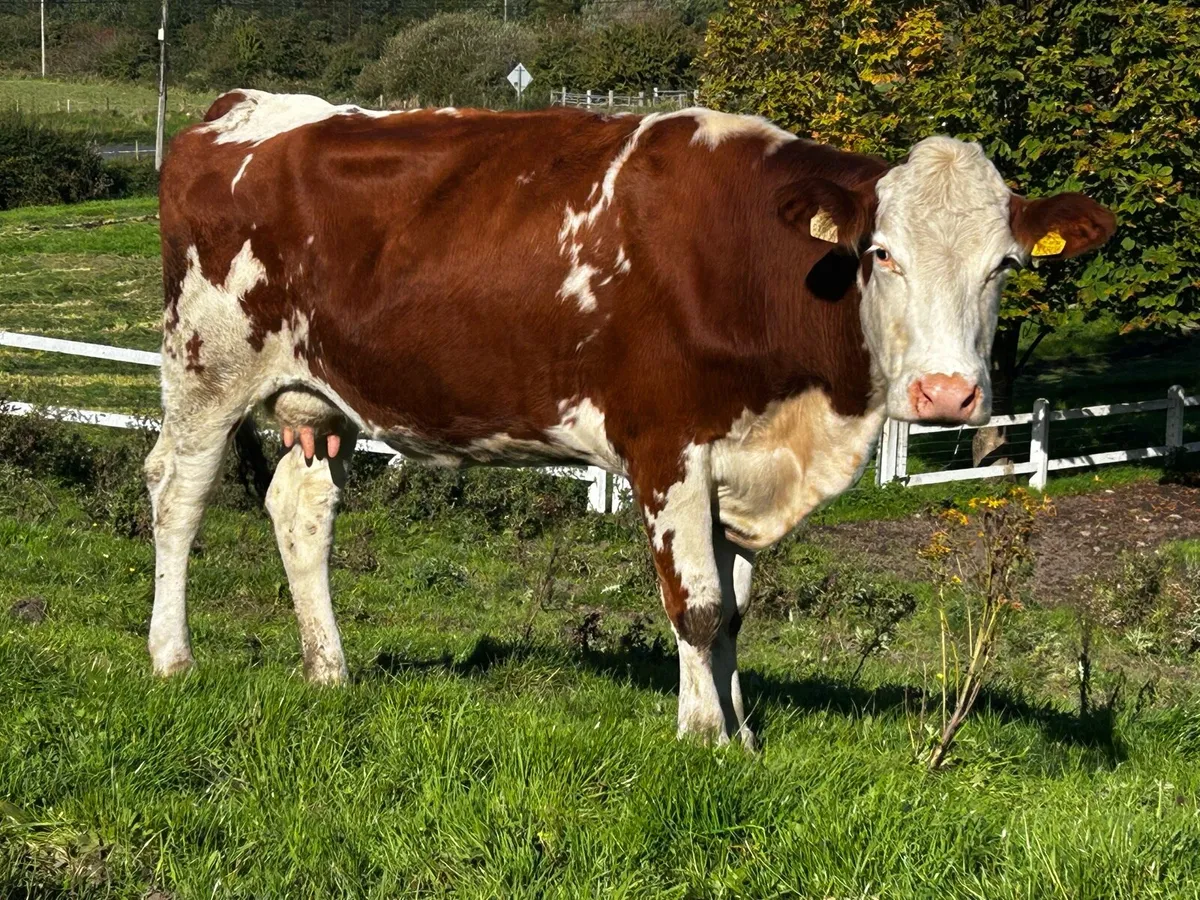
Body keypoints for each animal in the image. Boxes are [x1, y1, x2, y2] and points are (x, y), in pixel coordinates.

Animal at [146, 90, 1114, 747]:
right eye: (881, 254)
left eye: (1004, 265)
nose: (947, 395)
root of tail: (245, 110)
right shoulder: (666, 446)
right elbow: (697, 606)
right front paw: (705, 738)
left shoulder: (741, 457)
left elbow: (735, 609)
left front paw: (741, 730)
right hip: (204, 366)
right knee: (176, 498)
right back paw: (171, 659)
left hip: (321, 396)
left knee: (299, 511)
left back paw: (329, 673)